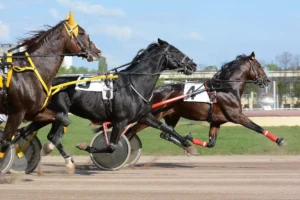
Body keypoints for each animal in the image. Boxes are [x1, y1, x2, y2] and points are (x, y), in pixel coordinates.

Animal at [0, 10, 101, 173]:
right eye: (82, 33)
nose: (97, 51)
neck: (31, 71)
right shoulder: (17, 113)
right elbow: (5, 141)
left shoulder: (34, 112)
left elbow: (63, 119)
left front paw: (60, 153)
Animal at [18, 38, 197, 173]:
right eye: (175, 51)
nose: (193, 65)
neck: (134, 84)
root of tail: (46, 84)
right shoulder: (120, 121)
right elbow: (111, 147)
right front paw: (85, 147)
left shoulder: (144, 116)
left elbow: (167, 128)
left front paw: (189, 146)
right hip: (59, 112)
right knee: (50, 136)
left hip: (47, 115)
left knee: (30, 132)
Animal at [126, 52, 286, 153]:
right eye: (258, 65)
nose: (267, 80)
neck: (226, 88)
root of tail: (151, 92)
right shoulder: (237, 116)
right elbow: (257, 127)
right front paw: (279, 140)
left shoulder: (216, 122)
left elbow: (211, 143)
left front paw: (189, 137)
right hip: (151, 117)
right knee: (130, 132)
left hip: (172, 115)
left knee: (165, 133)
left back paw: (187, 146)